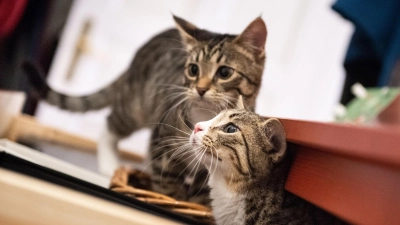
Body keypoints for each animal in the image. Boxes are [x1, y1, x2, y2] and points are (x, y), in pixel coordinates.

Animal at [25, 14, 268, 203]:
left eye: (225, 72)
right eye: (193, 69)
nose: (200, 89)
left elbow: (203, 191)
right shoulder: (162, 144)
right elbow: (167, 184)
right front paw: (172, 199)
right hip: (134, 108)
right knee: (110, 124)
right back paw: (109, 164)